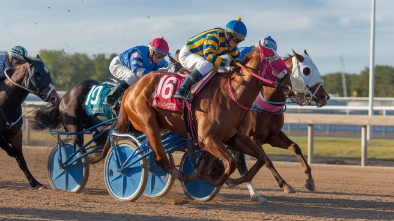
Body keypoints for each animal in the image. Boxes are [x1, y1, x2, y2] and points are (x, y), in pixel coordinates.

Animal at [0, 55, 60, 188]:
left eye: (48, 72)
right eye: (37, 73)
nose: (55, 98)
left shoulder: (16, 134)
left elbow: (21, 160)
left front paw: (35, 183)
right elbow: (8, 148)